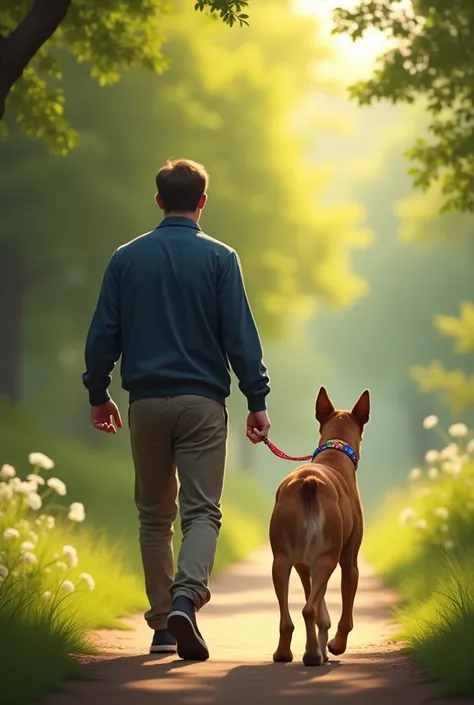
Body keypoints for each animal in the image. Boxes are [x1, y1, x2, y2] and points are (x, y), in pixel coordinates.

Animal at [268, 384, 368, 664]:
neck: (334, 454)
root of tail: (309, 481)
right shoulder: (349, 562)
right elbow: (344, 615)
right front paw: (334, 646)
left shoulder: (304, 564)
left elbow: (318, 598)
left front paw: (323, 641)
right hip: (328, 558)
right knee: (309, 608)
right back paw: (313, 654)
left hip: (281, 559)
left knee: (293, 615)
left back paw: (285, 653)